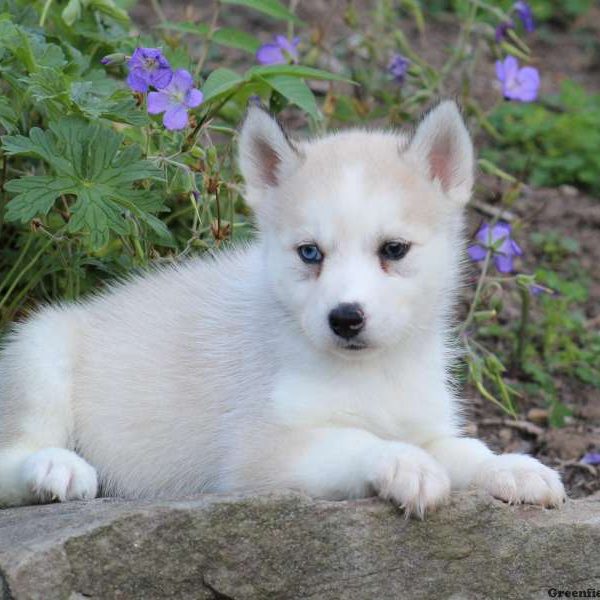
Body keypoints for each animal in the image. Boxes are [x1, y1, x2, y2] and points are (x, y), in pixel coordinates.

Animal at [0, 101, 564, 512]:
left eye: (394, 249)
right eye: (310, 253)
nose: (345, 318)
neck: (371, 374)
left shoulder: (426, 423)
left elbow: (466, 450)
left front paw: (512, 467)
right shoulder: (262, 452)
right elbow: (355, 441)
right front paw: (406, 465)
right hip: (40, 350)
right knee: (16, 455)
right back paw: (58, 469)